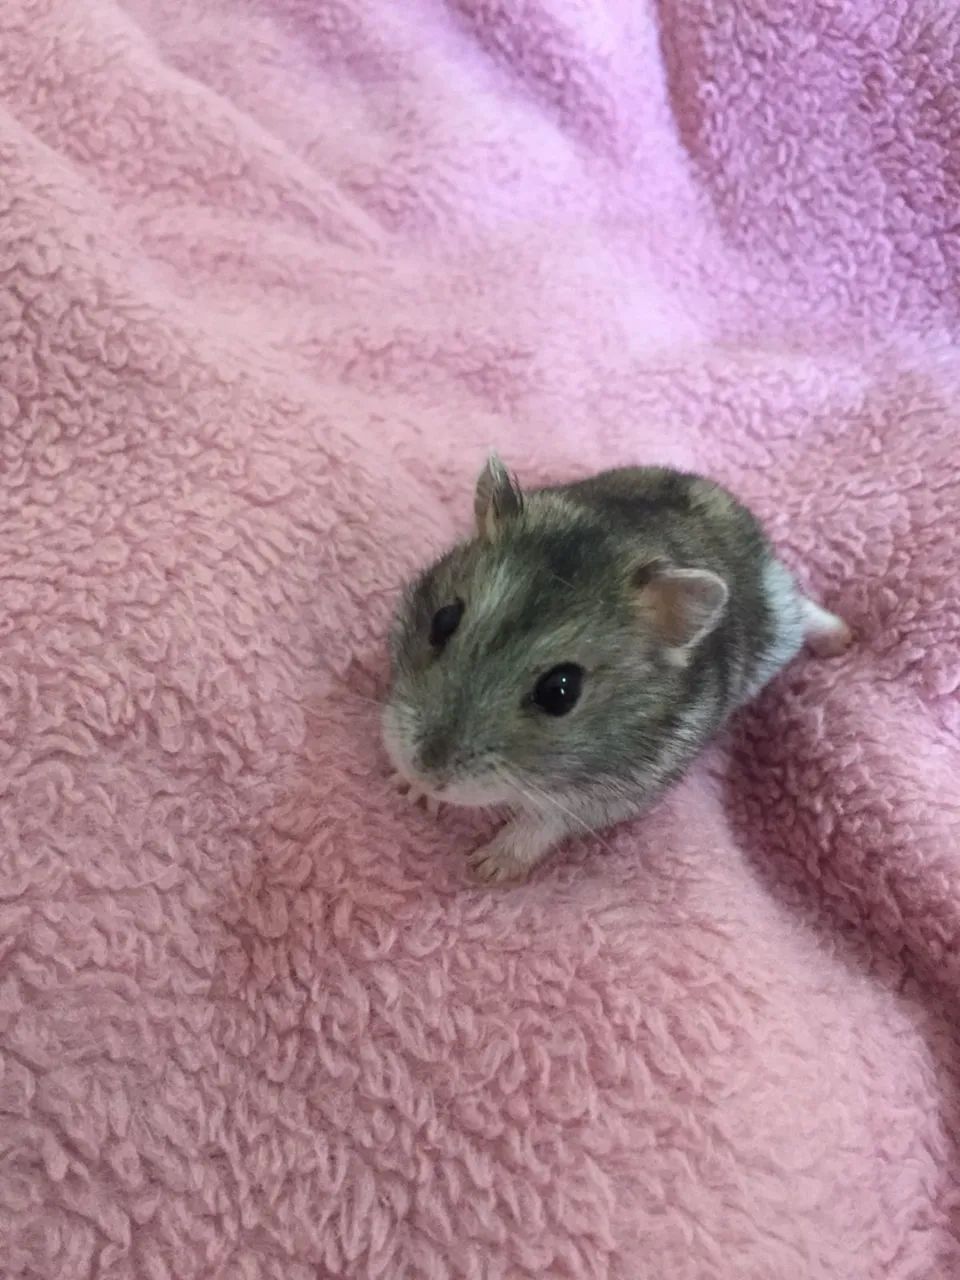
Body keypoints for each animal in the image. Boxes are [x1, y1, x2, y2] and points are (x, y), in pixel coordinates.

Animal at [383, 455, 852, 884]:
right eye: (443, 620)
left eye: (560, 692)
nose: (425, 770)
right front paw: (408, 791)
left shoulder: (619, 794)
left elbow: (544, 823)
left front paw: (487, 867)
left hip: (779, 624)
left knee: (801, 608)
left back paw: (843, 637)